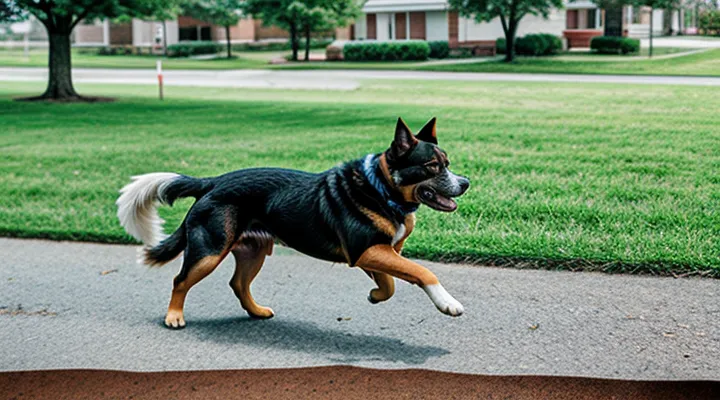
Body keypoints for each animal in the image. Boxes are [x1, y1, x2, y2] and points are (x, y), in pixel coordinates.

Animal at [115, 117, 470, 330]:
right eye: (432, 166)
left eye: (448, 163)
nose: (465, 183)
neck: (379, 187)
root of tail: (212, 182)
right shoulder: (367, 251)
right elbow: (422, 272)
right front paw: (448, 303)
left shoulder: (376, 253)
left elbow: (391, 283)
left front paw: (374, 295)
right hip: (209, 250)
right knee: (180, 280)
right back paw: (174, 316)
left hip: (253, 250)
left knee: (238, 283)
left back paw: (256, 311)